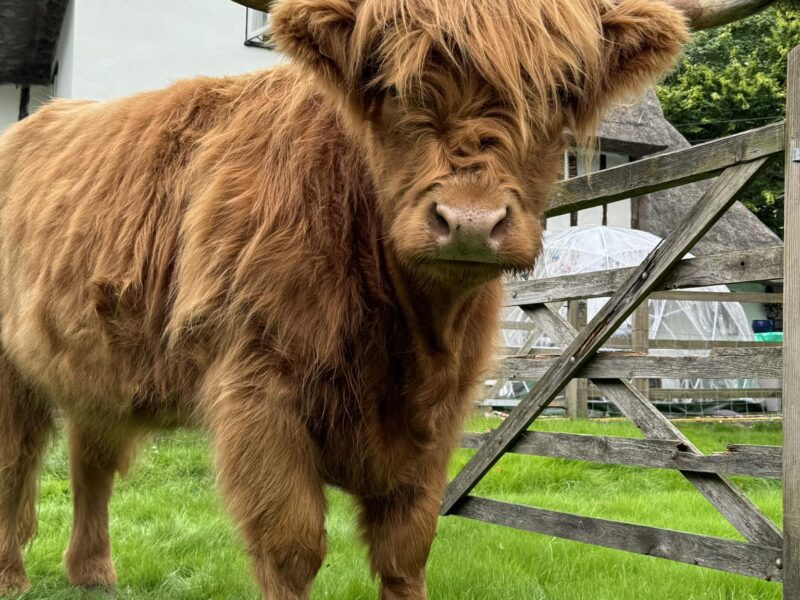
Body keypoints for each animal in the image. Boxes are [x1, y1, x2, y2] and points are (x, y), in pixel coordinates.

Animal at [0, 0, 737, 597]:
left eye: (560, 88)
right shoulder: (259, 390)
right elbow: (292, 548)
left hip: (95, 361)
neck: (403, 332)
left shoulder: (438, 414)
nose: (470, 222)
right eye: (388, 84)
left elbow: (406, 551)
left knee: (91, 456)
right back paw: (14, 577)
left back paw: (93, 574)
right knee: (18, 463)